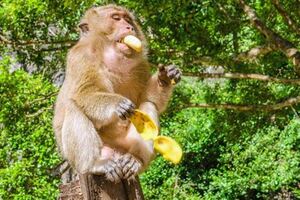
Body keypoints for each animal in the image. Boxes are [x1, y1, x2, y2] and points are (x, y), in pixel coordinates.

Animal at [52, 4, 180, 183]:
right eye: (116, 18)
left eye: (127, 19)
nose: (130, 27)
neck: (112, 55)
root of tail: (114, 153)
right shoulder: (81, 57)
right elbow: (84, 93)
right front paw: (117, 104)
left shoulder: (141, 65)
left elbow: (147, 99)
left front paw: (165, 77)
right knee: (74, 106)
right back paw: (94, 164)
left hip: (125, 144)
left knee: (148, 106)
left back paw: (136, 160)